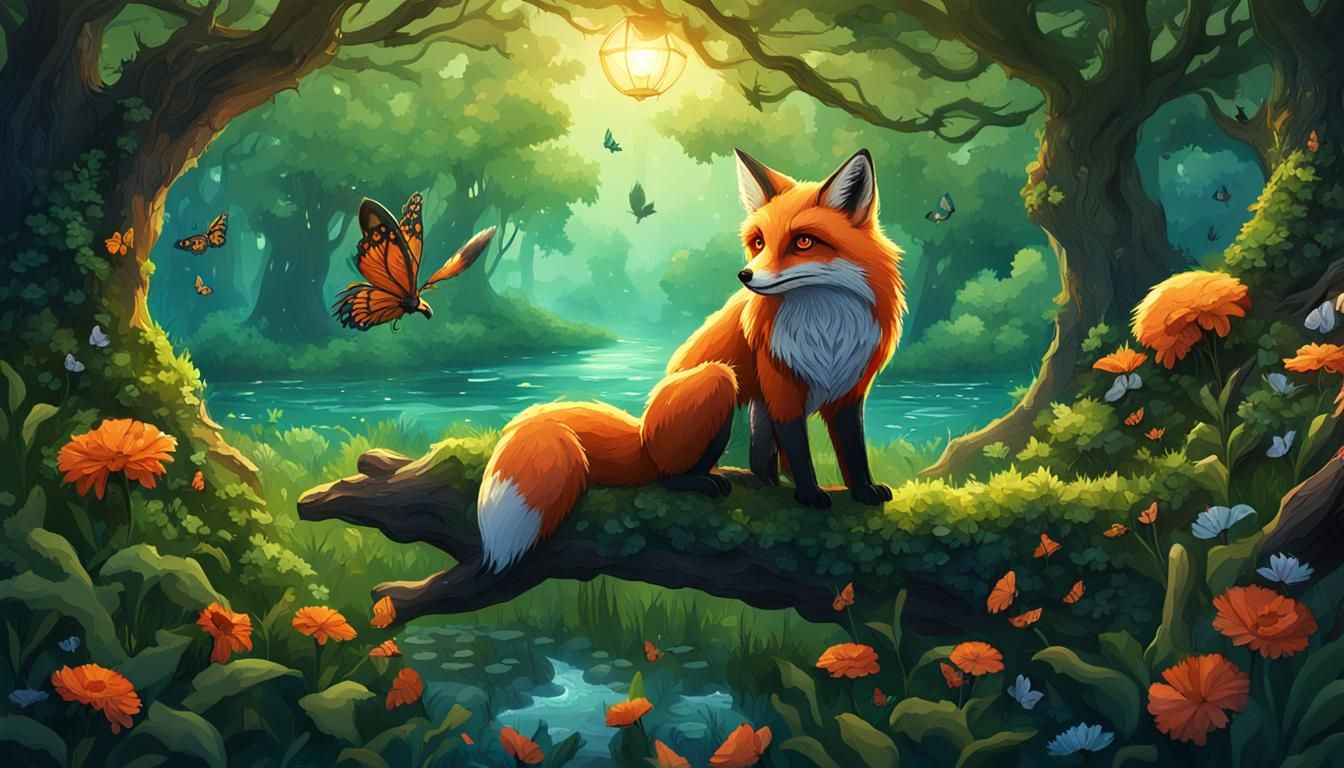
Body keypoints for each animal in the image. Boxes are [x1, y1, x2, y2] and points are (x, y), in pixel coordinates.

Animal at [476, 148, 906, 573]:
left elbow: (853, 449)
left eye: (803, 242)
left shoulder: (850, 389)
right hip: (717, 381)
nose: (745, 275)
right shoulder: (782, 386)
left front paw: (863, 490)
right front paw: (810, 493)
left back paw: (758, 481)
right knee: (669, 476)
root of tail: (643, 435)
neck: (826, 328)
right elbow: (799, 450)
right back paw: (704, 481)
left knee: (758, 462)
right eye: (758, 242)